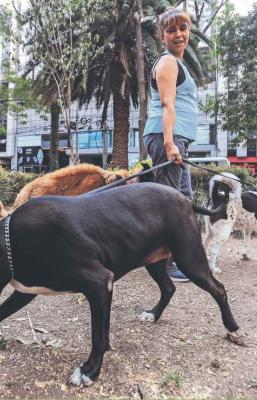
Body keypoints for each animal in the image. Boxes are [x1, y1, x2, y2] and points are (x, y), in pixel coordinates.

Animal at [0, 183, 237, 386]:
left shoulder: (99, 283)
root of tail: (185, 199)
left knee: (219, 289)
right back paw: (153, 314)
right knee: (169, 288)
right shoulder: (25, 291)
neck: (11, 240)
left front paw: (89, 371)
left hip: (190, 260)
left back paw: (231, 327)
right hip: (154, 262)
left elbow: (97, 336)